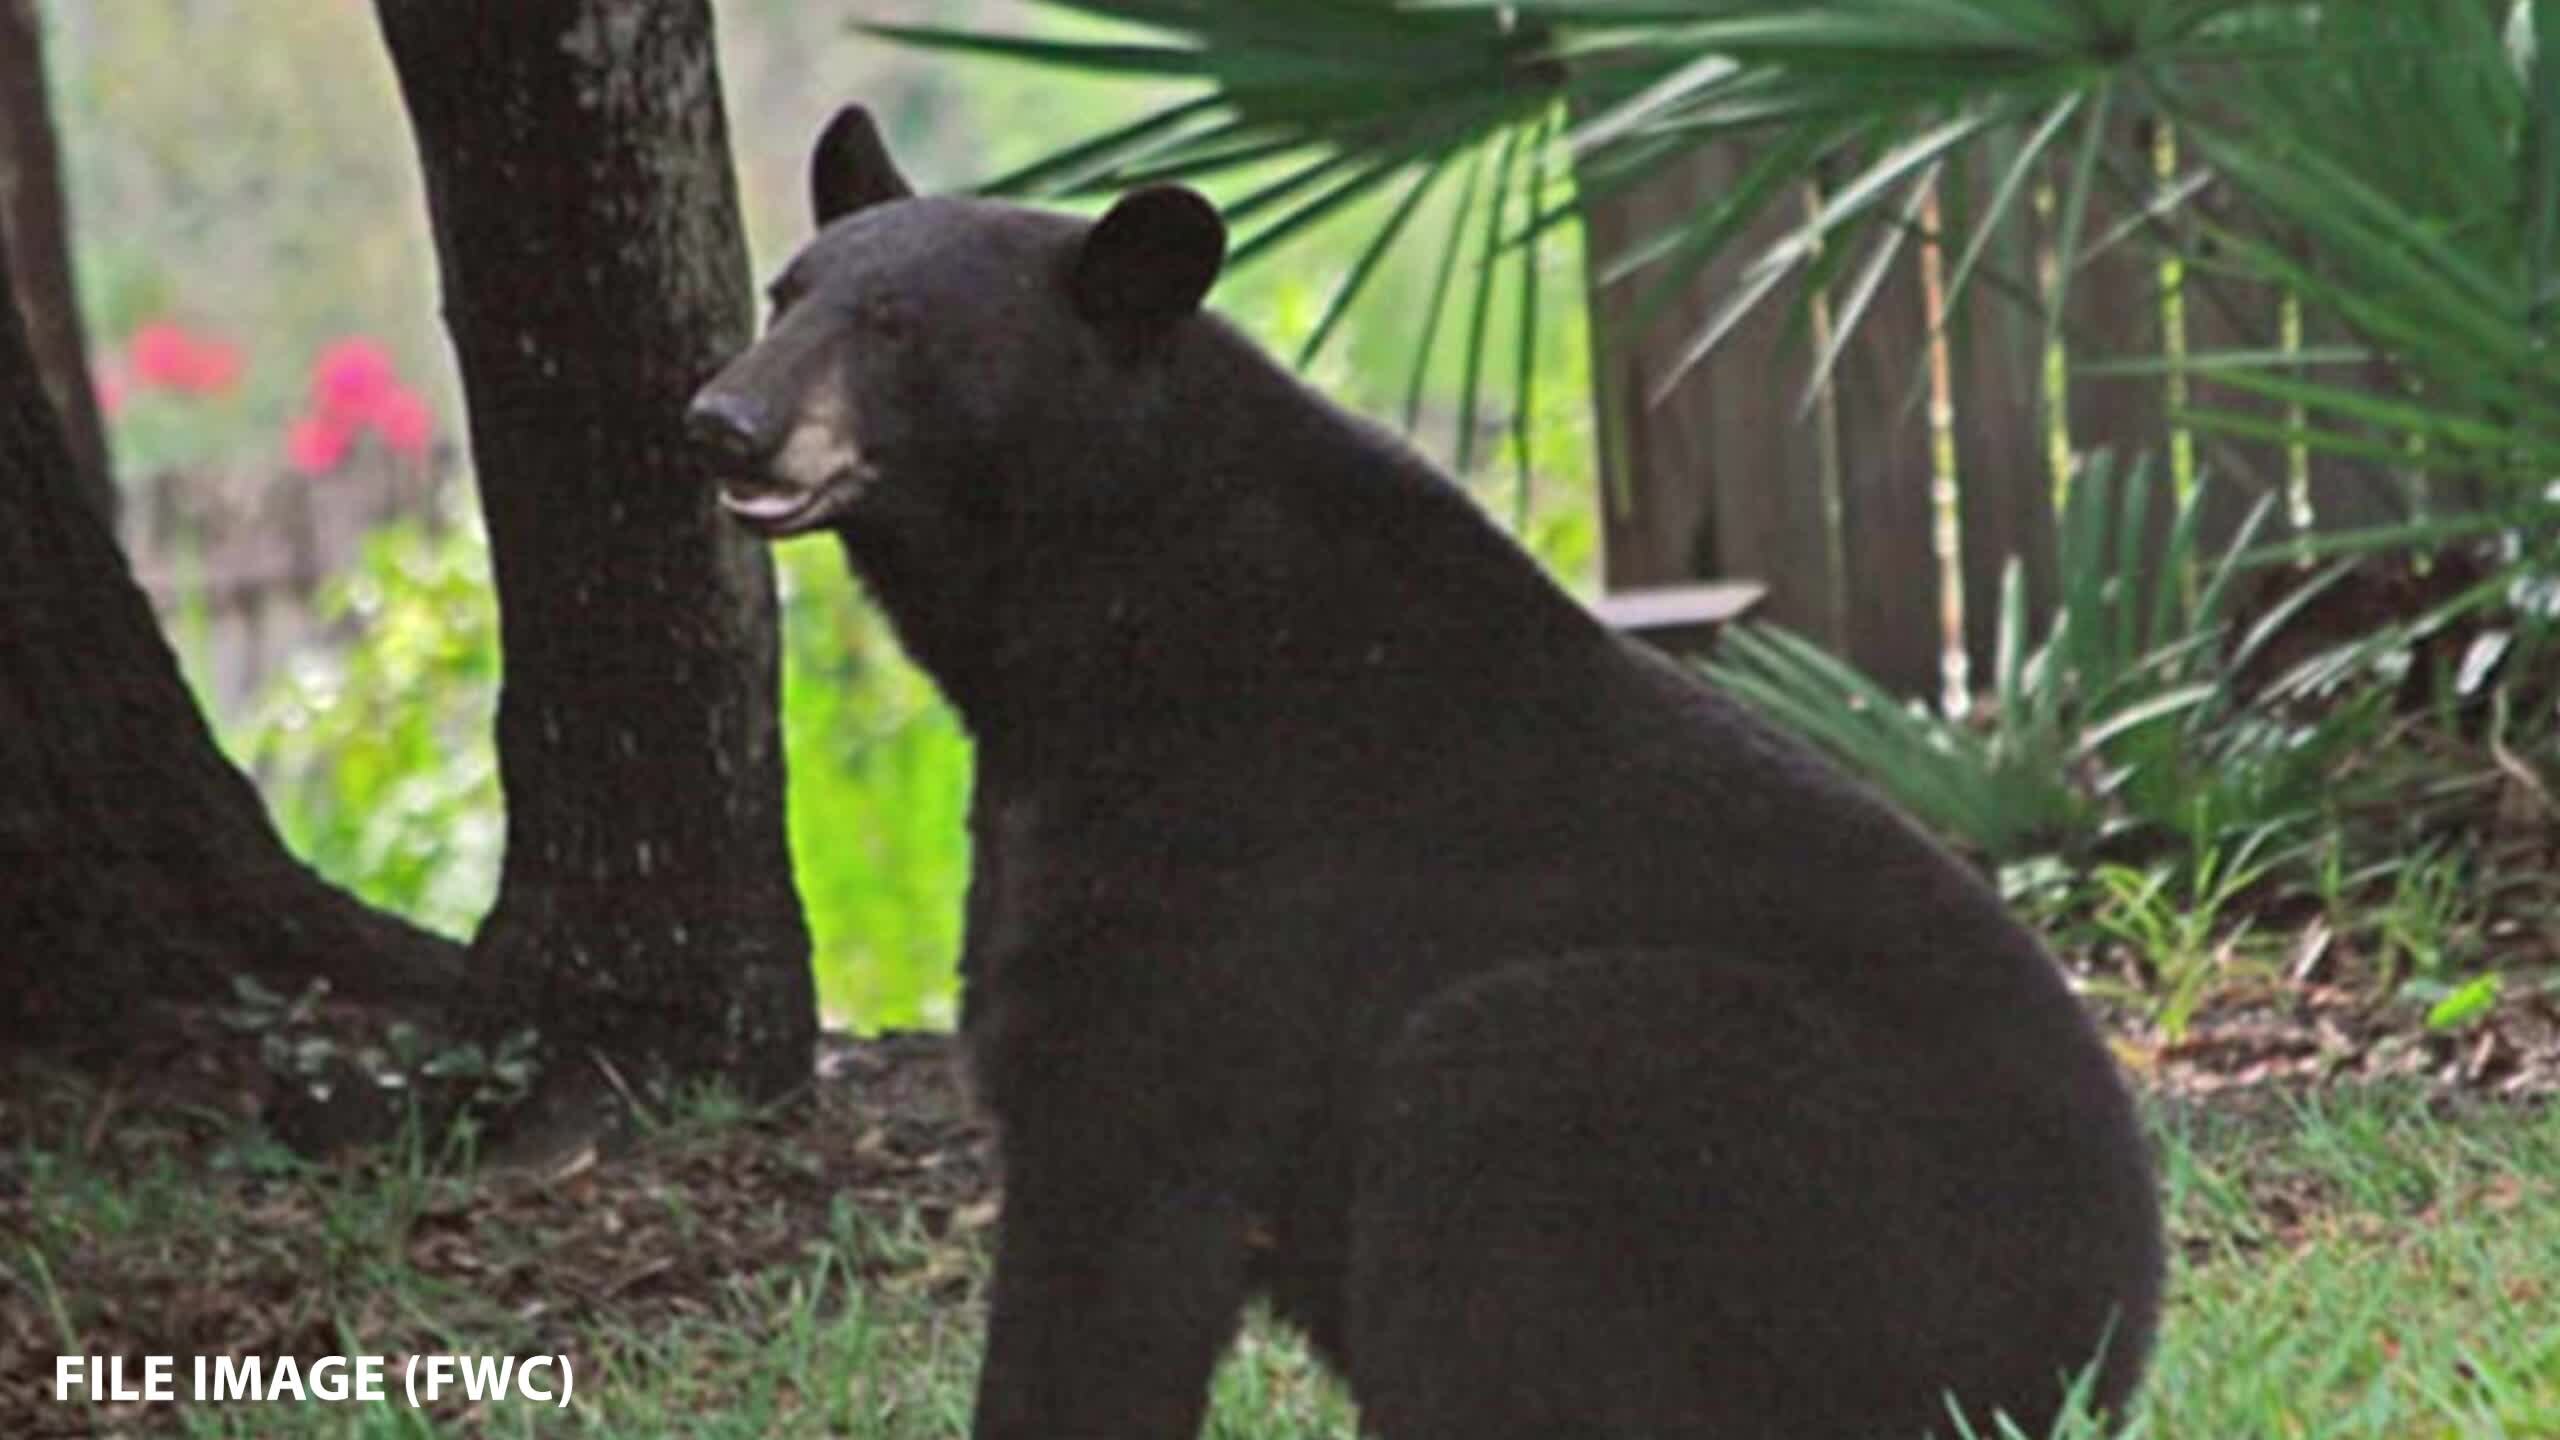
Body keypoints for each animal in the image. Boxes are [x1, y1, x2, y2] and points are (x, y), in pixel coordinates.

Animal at [687, 105, 2163, 1440]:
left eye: (897, 328)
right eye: (783, 293)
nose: (723, 418)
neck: (1111, 603)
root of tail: (2100, 1350)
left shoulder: (1227, 857)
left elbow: (1125, 1181)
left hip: (1807, 1185)